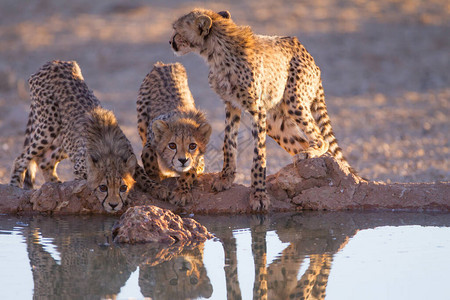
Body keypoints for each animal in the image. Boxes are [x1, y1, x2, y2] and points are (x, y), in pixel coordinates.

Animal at [10, 59, 171, 212]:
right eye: (104, 187)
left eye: (122, 187)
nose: (113, 204)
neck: (109, 150)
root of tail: (54, 62)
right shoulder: (80, 167)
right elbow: (89, 179)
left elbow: (143, 175)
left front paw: (158, 188)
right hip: (49, 125)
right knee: (22, 158)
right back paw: (15, 186)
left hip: (64, 139)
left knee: (45, 161)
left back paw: (55, 185)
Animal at [136, 61, 212, 206]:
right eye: (172, 145)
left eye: (192, 146)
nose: (182, 160)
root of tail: (166, 64)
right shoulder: (150, 141)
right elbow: (148, 156)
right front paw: (157, 184)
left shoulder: (199, 161)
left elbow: (190, 171)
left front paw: (181, 192)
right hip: (142, 121)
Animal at [171, 9, 360, 211]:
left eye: (177, 30)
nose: (170, 42)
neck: (216, 52)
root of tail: (305, 51)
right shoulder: (232, 105)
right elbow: (228, 143)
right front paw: (225, 178)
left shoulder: (257, 110)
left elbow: (258, 155)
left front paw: (259, 194)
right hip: (275, 123)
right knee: (303, 143)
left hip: (294, 102)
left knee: (321, 140)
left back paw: (309, 154)